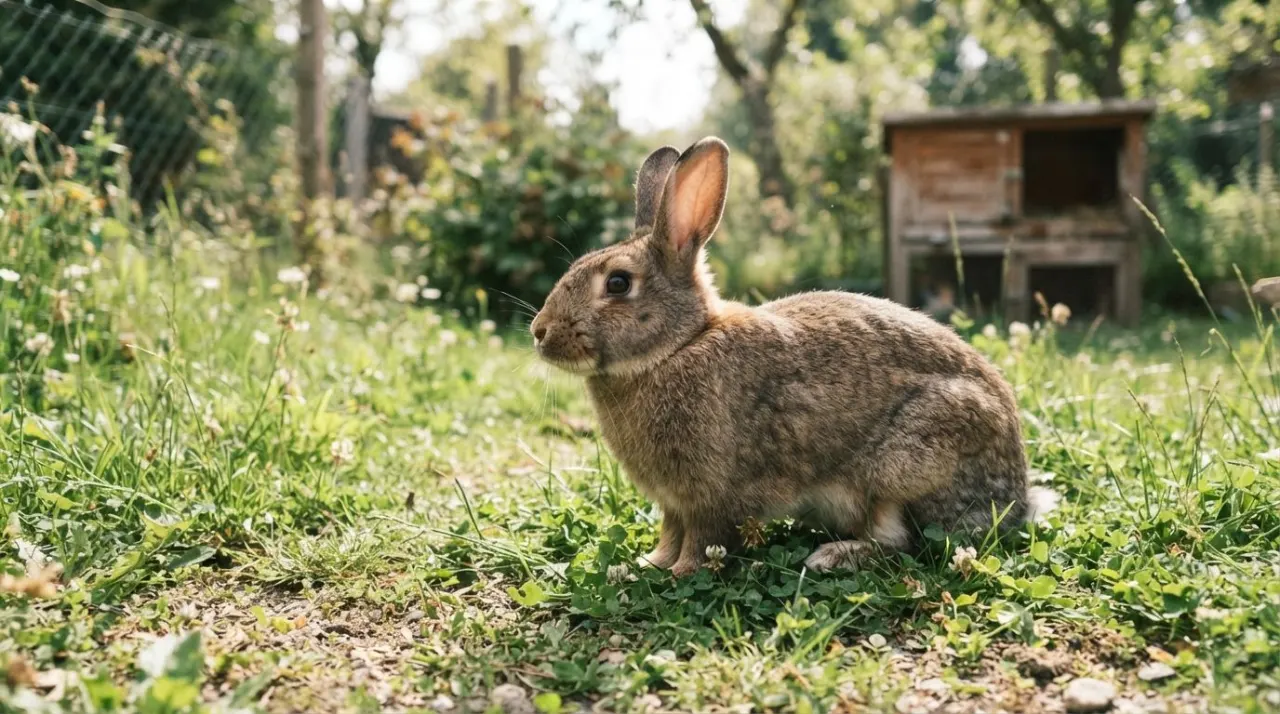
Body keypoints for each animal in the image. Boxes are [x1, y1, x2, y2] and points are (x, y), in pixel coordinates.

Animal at [529, 137, 1057, 577]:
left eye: (618, 283)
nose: (539, 333)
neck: (680, 345)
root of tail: (1015, 498)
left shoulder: (709, 497)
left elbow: (700, 542)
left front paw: (678, 575)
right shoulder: (674, 504)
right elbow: (669, 536)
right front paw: (643, 566)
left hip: (908, 462)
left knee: (901, 540)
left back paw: (833, 556)